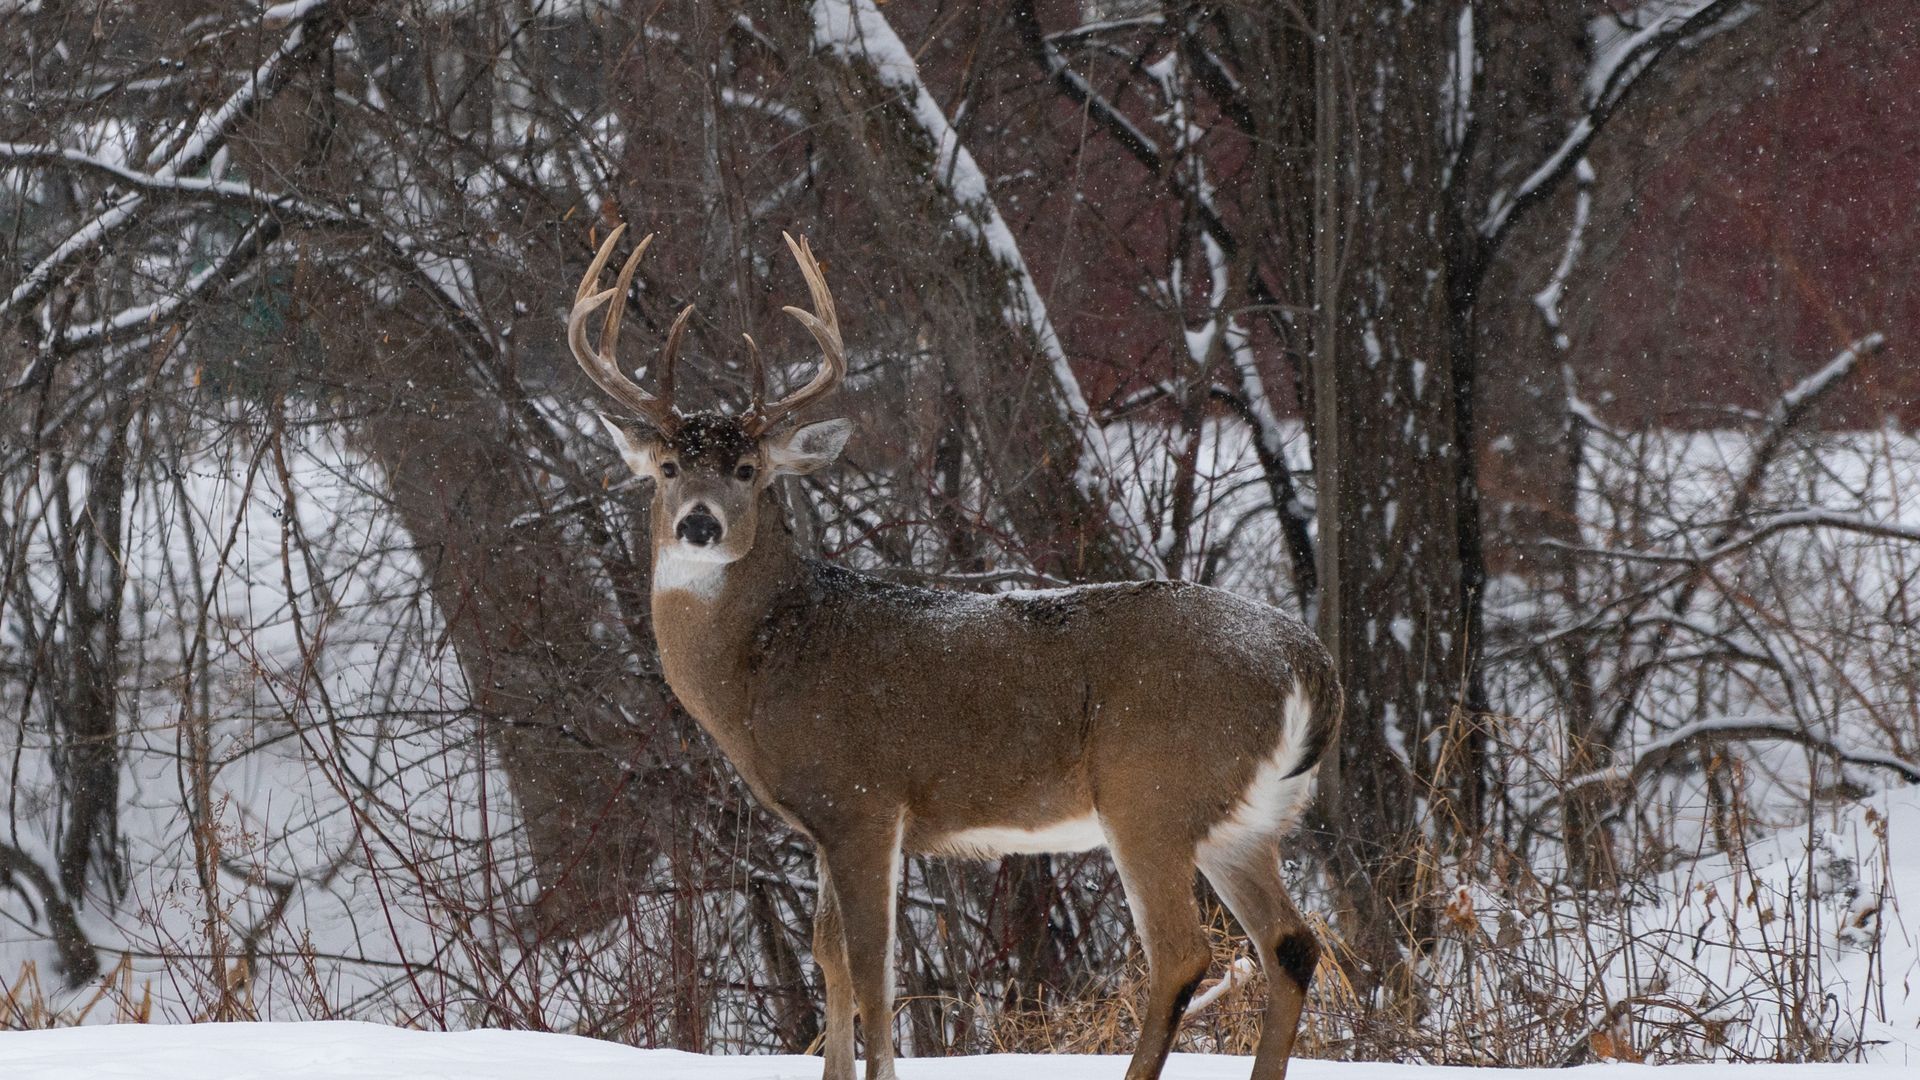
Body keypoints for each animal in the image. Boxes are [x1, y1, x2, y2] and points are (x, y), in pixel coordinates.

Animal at [569, 224, 1341, 1080]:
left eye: (746, 469)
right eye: (670, 467)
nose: (699, 524)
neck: (766, 664)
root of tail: (1309, 661)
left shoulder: (864, 800)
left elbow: (872, 969)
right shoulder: (824, 822)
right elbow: (831, 957)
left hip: (1153, 790)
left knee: (1182, 952)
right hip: (1248, 819)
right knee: (1292, 944)